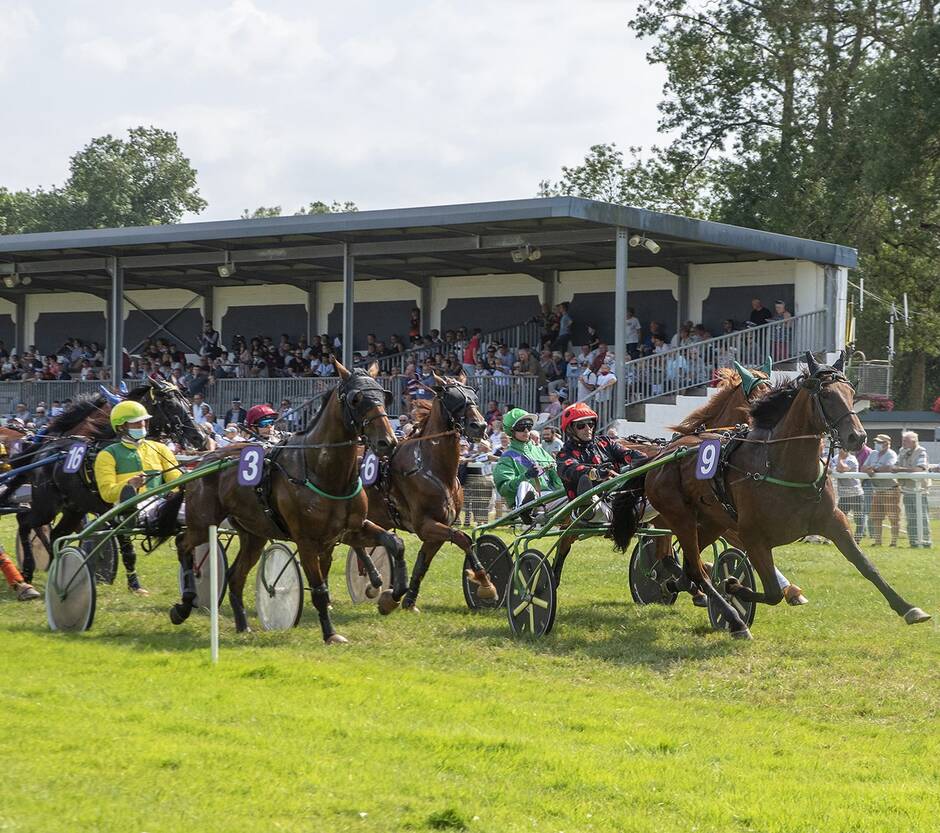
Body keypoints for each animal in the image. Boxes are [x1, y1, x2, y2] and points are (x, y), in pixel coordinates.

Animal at [6, 374, 206, 580]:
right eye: (171, 405)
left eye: (188, 403)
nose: (200, 437)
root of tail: (45, 450)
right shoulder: (112, 509)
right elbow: (124, 545)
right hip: (47, 506)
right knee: (24, 521)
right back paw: (28, 570)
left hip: (73, 509)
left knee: (56, 535)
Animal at [173, 360, 404, 644]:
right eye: (356, 399)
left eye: (384, 395)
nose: (387, 441)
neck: (322, 472)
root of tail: (204, 459)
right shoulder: (307, 541)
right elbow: (319, 589)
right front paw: (330, 634)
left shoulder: (351, 529)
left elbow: (395, 543)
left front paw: (391, 598)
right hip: (202, 522)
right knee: (183, 543)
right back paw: (184, 605)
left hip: (253, 534)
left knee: (235, 576)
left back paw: (242, 625)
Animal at [346, 370, 492, 612]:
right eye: (452, 397)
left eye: (474, 396)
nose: (479, 425)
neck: (432, 467)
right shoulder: (425, 525)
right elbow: (463, 538)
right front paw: (484, 582)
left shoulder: (439, 527)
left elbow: (423, 563)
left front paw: (408, 600)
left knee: (357, 543)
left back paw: (373, 581)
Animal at [612, 352, 928, 636]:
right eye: (826, 395)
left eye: (850, 393)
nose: (858, 437)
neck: (782, 466)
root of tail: (662, 455)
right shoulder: (752, 536)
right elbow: (771, 591)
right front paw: (735, 587)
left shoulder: (833, 522)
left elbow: (866, 566)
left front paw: (909, 608)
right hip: (680, 517)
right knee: (692, 567)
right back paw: (732, 619)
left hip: (713, 521)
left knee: (690, 566)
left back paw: (680, 586)